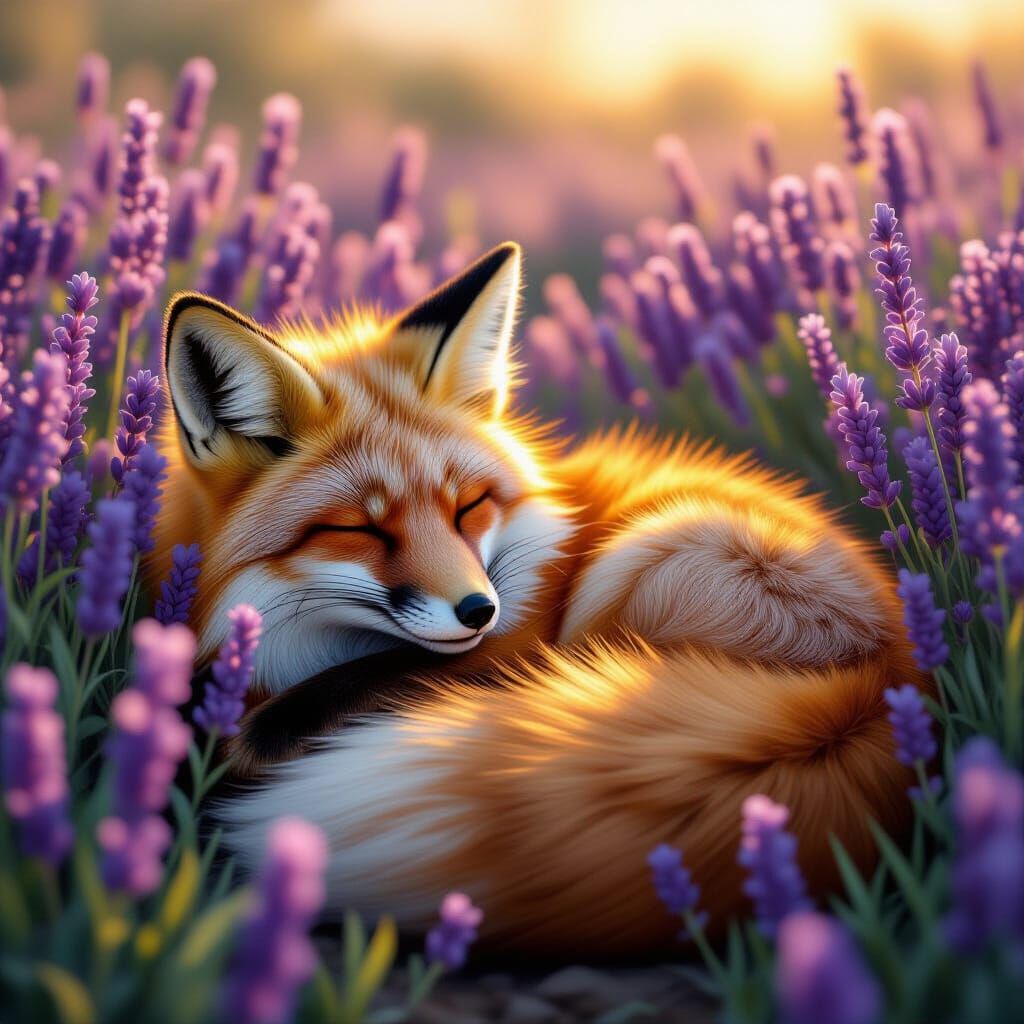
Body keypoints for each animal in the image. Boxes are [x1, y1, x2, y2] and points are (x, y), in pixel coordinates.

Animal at [152, 241, 922, 957]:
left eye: (468, 507)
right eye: (360, 529)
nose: (478, 611)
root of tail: (889, 682)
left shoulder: (514, 646)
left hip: (640, 562)